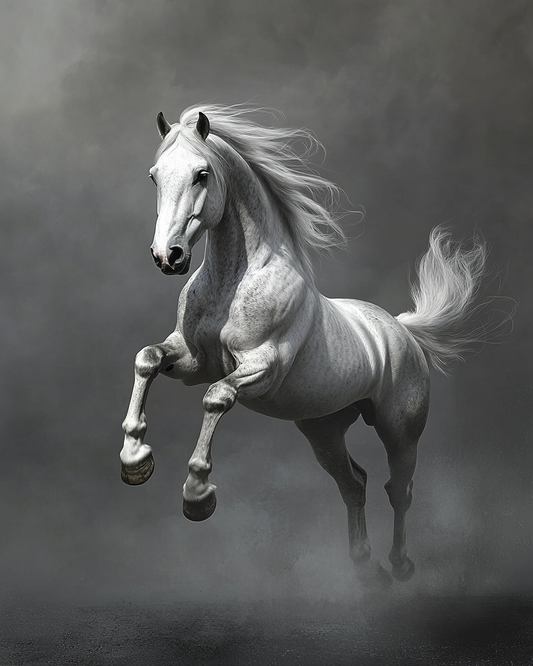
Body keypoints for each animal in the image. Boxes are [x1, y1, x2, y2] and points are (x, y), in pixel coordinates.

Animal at [120, 104, 492, 587]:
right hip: (324, 429)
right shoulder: (190, 358)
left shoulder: (262, 365)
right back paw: (364, 567)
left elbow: (217, 397)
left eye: (202, 174)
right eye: (154, 176)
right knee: (354, 483)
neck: (234, 280)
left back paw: (399, 565)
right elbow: (147, 358)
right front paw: (135, 460)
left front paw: (197, 494)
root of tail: (401, 330)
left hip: (399, 431)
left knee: (399, 489)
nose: (168, 257)